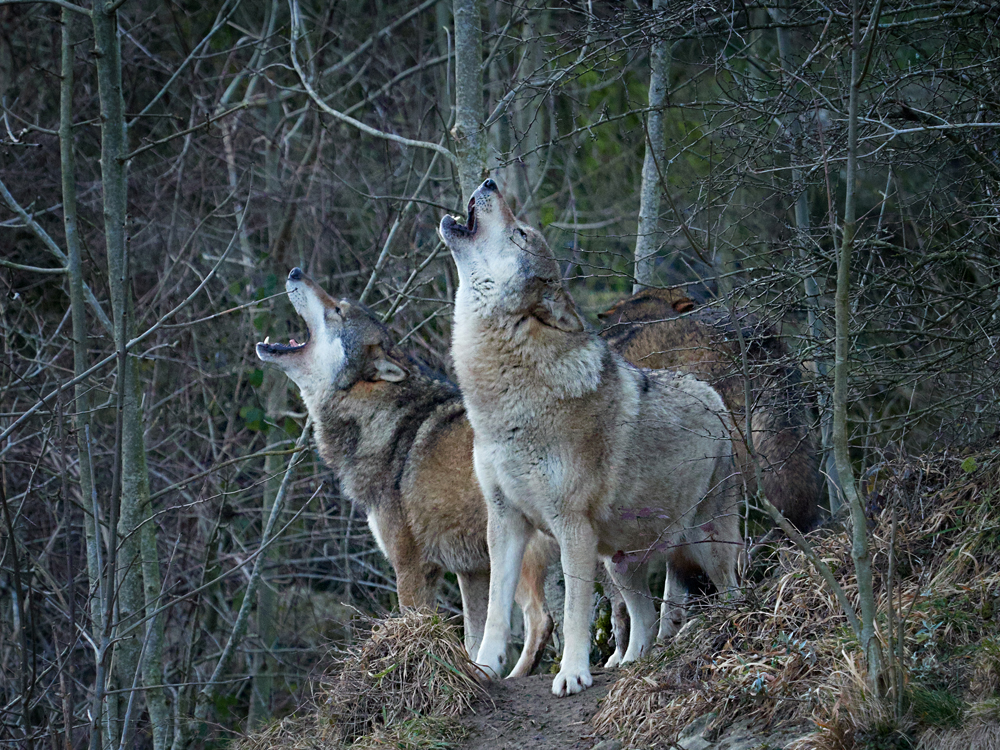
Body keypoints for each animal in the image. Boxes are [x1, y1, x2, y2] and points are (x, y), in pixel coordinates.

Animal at [254, 268, 556, 676]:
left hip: (517, 553)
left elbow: (419, 624)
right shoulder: (471, 571)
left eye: (337, 310)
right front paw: (468, 675)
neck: (384, 420)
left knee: (541, 620)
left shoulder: (412, 565)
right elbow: (472, 639)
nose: (296, 272)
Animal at [440, 182, 744, 700]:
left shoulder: (572, 528)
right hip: (621, 565)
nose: (489, 184)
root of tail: (714, 397)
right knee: (644, 617)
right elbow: (497, 613)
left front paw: (572, 674)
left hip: (706, 542)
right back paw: (633, 664)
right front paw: (483, 669)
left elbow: (576, 612)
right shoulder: (505, 523)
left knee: (731, 589)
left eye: (521, 233)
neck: (502, 402)